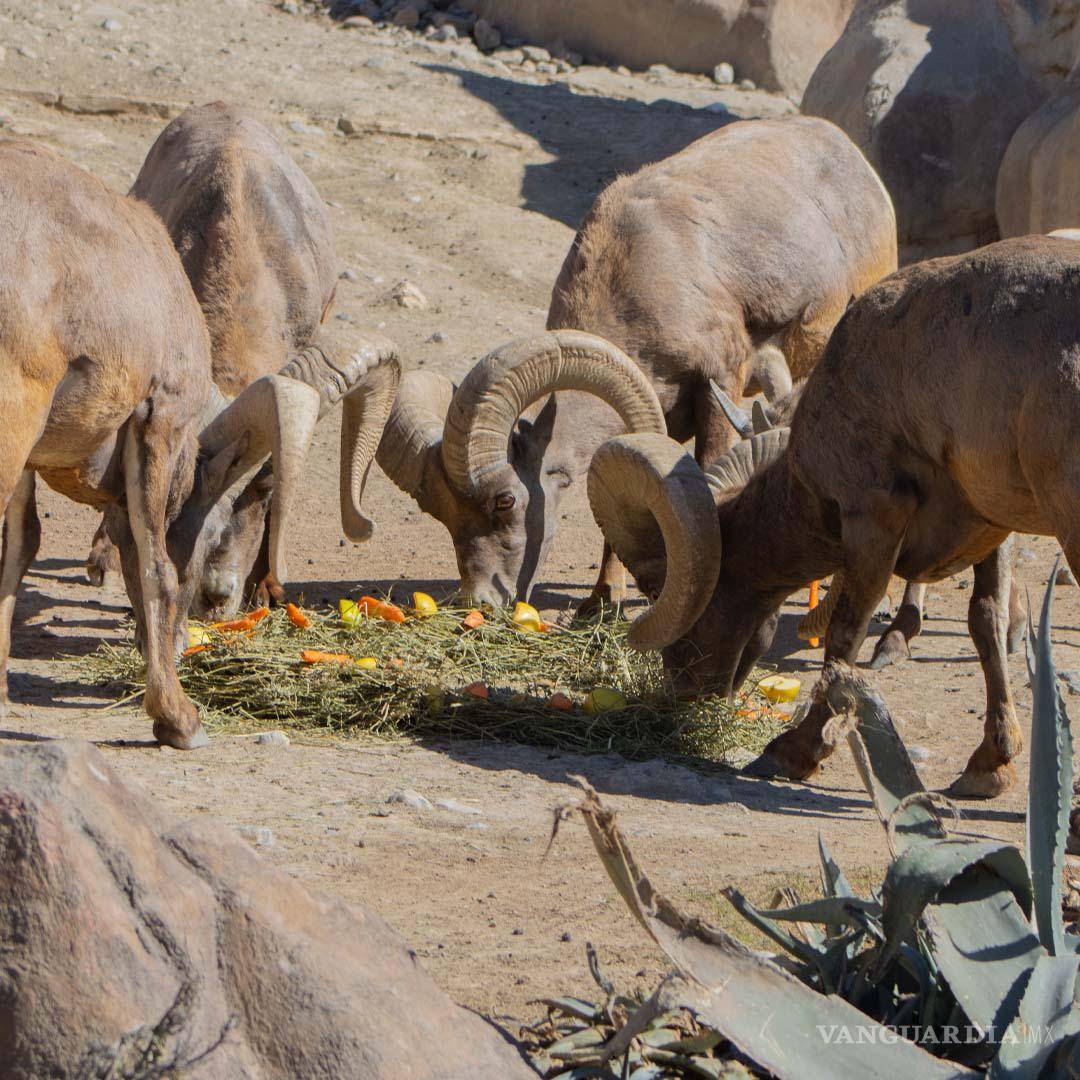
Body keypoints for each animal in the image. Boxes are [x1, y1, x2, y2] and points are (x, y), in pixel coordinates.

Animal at [375, 118, 898, 613]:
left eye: (505, 500)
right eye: (442, 514)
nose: (482, 599)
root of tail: (852, 157)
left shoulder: (719, 386)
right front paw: (603, 601)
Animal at [591, 236, 1080, 794]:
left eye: (657, 588)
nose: (685, 692)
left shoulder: (871, 521)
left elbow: (844, 640)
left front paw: (791, 754)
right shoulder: (989, 528)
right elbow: (987, 622)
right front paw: (989, 766)